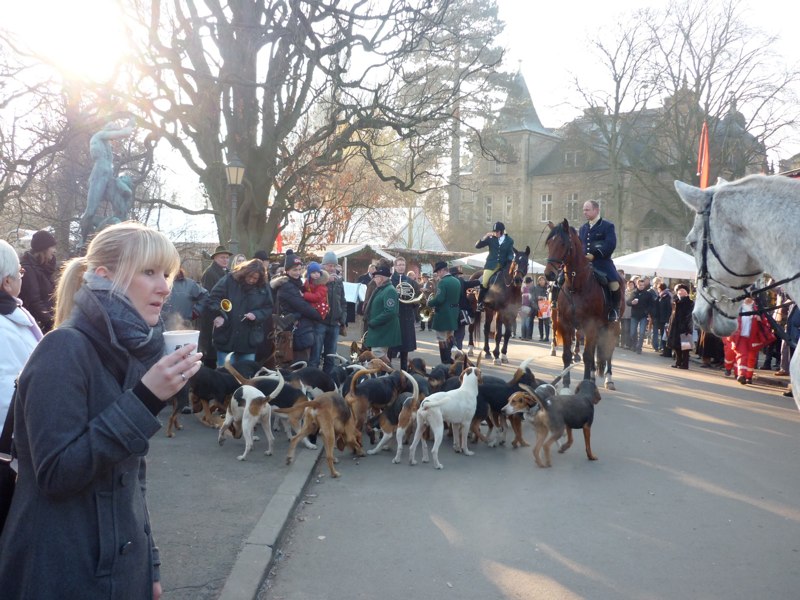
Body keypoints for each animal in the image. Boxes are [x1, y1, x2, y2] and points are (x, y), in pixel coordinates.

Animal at [544, 220, 622, 389]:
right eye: (549, 243)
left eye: (562, 244)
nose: (549, 274)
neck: (577, 286)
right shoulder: (566, 323)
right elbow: (567, 355)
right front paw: (566, 383)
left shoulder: (590, 325)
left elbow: (587, 355)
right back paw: (592, 376)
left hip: (613, 326)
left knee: (608, 352)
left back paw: (608, 379)